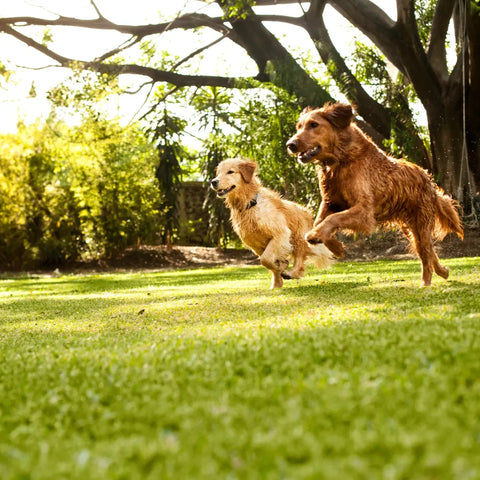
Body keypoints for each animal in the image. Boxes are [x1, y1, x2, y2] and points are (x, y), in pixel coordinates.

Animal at [212, 158, 332, 288]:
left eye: (230, 172)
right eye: (218, 173)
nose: (213, 182)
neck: (249, 204)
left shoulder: (280, 234)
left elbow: (266, 260)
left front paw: (281, 266)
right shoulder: (256, 245)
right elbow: (268, 263)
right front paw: (277, 282)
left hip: (299, 238)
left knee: (300, 258)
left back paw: (292, 273)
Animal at [286, 101, 464, 286]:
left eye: (314, 125)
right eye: (299, 127)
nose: (290, 145)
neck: (342, 160)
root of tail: (428, 180)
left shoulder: (364, 211)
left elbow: (332, 219)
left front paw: (316, 236)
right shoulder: (331, 202)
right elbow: (320, 221)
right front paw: (336, 246)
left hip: (421, 224)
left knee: (426, 254)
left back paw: (425, 283)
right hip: (412, 229)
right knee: (429, 252)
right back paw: (443, 271)